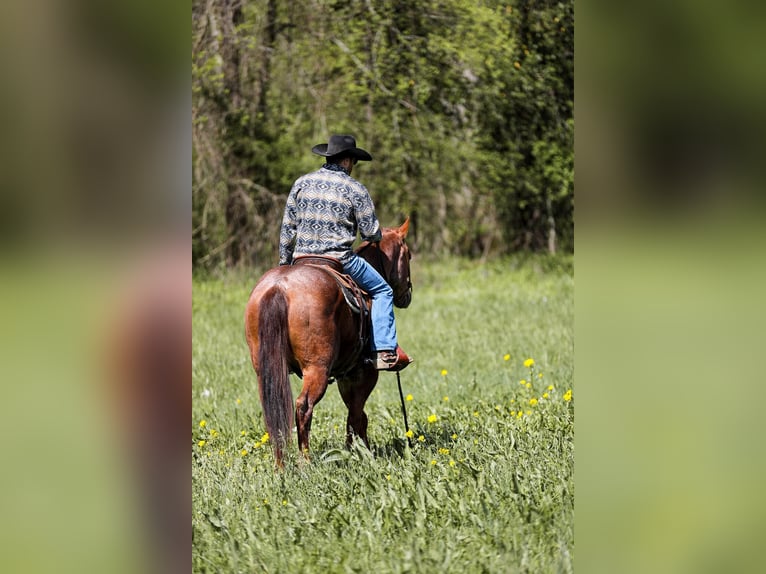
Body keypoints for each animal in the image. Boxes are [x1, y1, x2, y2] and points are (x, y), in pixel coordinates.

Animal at [246, 218, 414, 466]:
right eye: (408, 255)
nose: (407, 295)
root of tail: (278, 287)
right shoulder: (363, 373)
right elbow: (357, 415)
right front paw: (361, 454)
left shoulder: (347, 374)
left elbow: (356, 415)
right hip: (317, 369)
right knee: (304, 407)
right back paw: (305, 462)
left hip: (264, 369)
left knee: (274, 409)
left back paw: (280, 465)